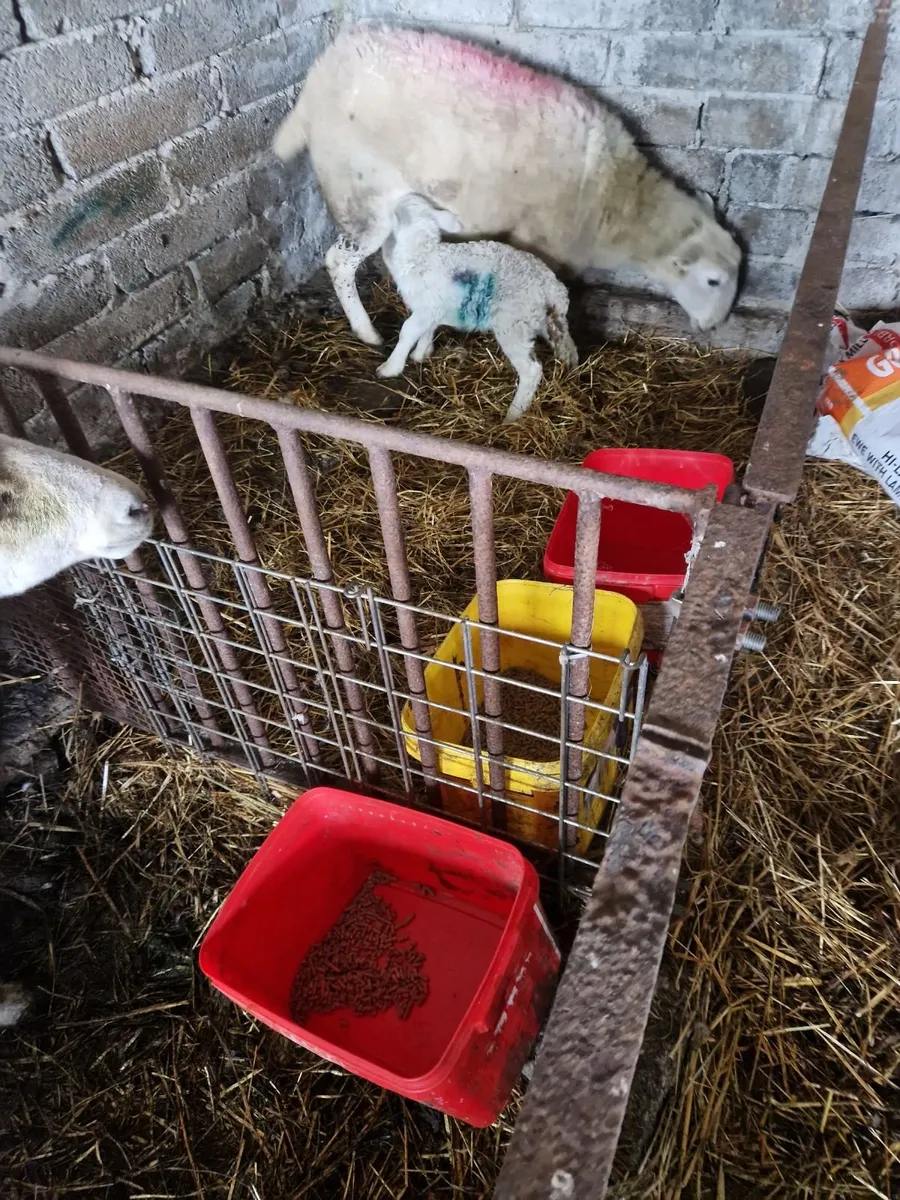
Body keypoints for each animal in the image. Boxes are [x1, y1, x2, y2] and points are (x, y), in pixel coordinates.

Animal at [273, 26, 742, 349]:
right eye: (713, 280)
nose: (716, 326)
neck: (617, 198)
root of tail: (319, 74)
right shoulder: (542, 240)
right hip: (359, 190)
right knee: (339, 261)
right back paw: (367, 332)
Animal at [379, 194, 578, 423]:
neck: (421, 255)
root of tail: (553, 287)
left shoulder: (425, 309)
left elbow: (407, 332)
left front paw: (390, 368)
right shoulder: (432, 308)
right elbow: (427, 332)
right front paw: (421, 354)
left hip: (513, 323)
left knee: (531, 370)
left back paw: (511, 417)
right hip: (543, 320)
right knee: (567, 345)